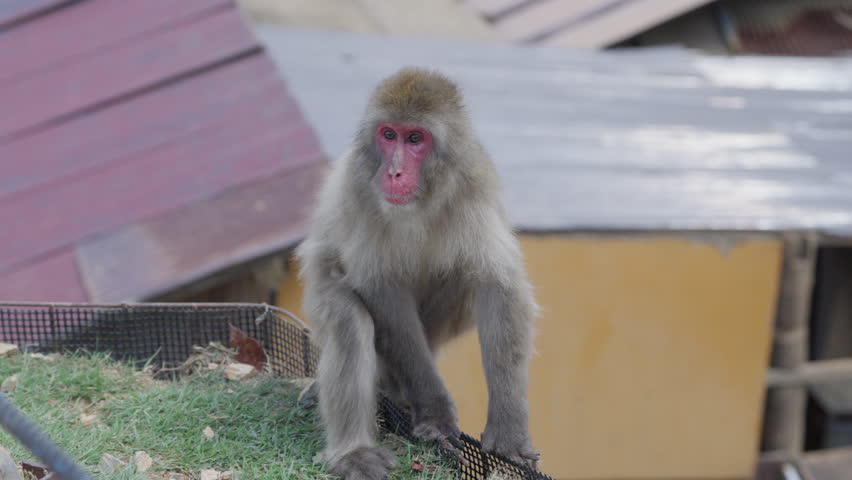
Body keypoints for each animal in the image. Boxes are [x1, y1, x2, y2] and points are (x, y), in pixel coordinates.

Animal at [294, 67, 540, 480]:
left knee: (458, 275)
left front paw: (508, 430)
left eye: (415, 139)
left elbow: (497, 285)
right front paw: (434, 409)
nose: (393, 172)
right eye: (388, 134)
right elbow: (380, 290)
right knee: (347, 321)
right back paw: (355, 452)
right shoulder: (359, 187)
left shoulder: (475, 186)